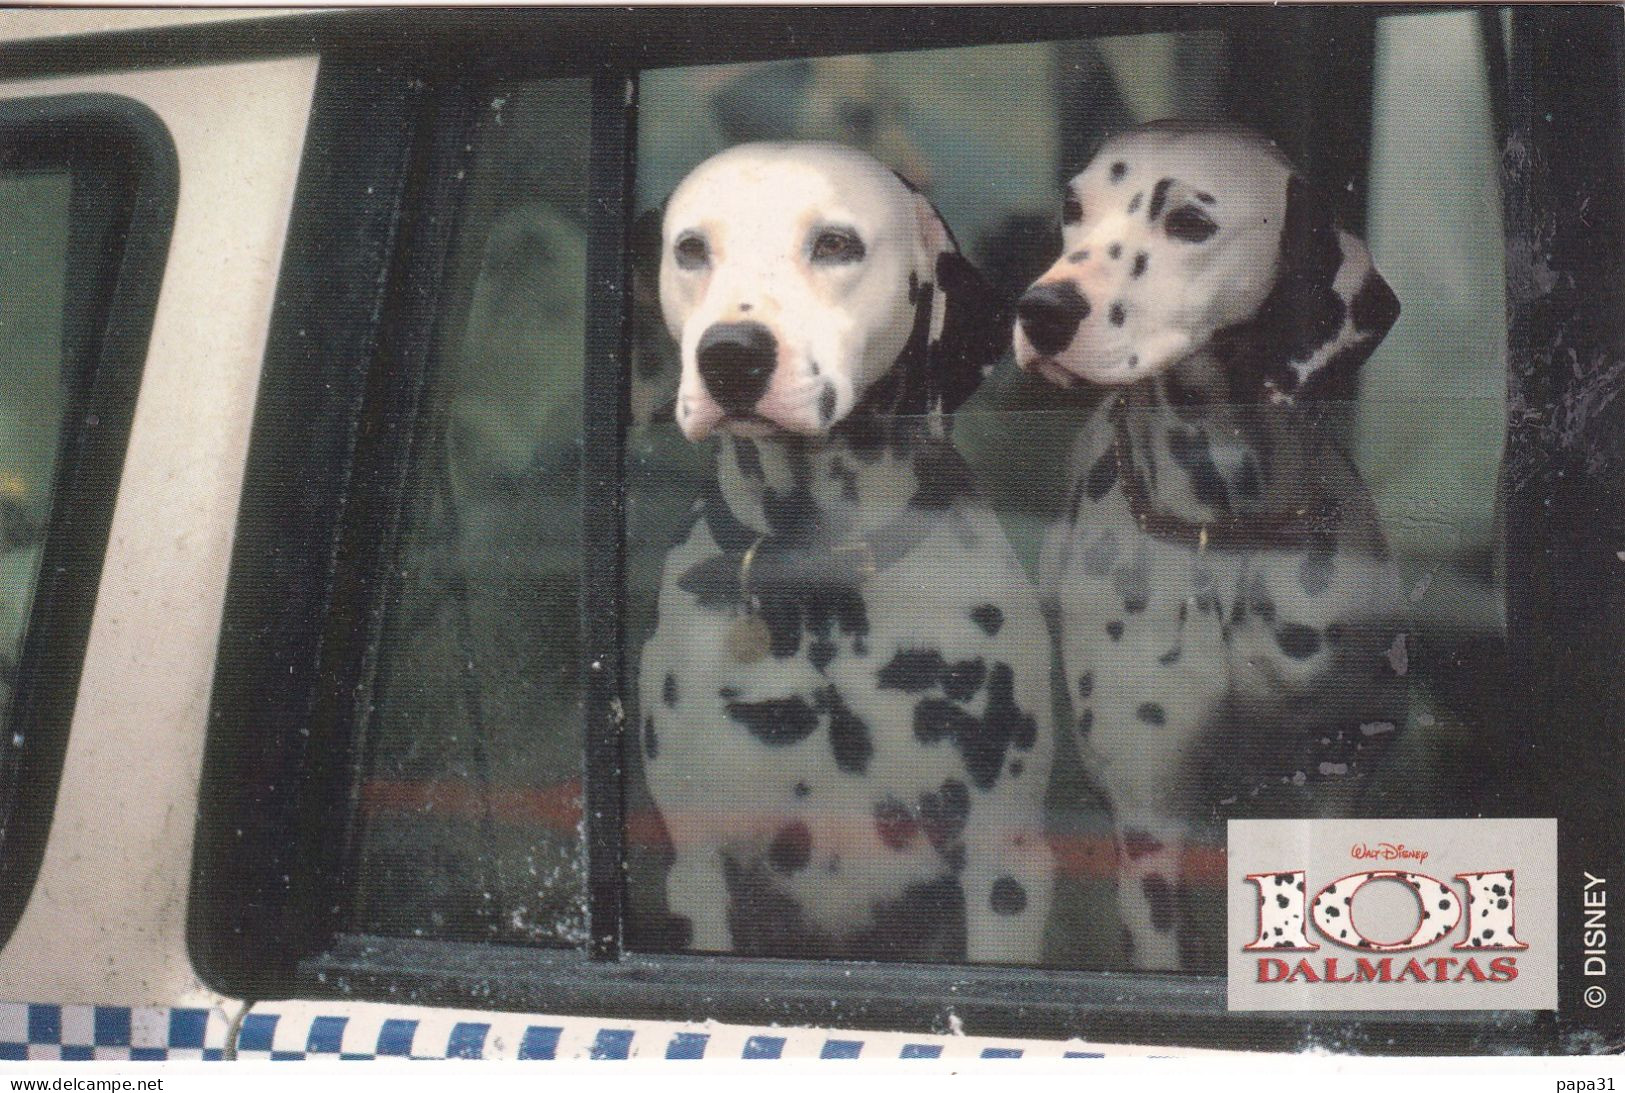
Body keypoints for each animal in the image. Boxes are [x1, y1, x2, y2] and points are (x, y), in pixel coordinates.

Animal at [1014, 123, 1410, 967]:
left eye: (1190, 222)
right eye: (1073, 208)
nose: (1040, 310)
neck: (1224, 537)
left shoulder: (1328, 786)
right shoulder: (1150, 818)